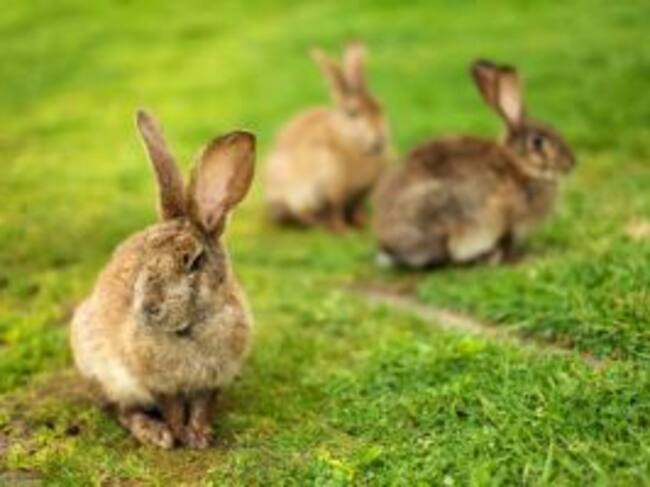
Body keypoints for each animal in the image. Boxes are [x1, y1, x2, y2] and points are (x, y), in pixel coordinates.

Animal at [70, 109, 255, 449]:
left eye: (194, 261)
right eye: (145, 254)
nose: (149, 307)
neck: (190, 329)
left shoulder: (212, 381)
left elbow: (201, 407)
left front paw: (201, 436)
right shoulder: (156, 382)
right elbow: (172, 409)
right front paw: (178, 435)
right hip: (103, 371)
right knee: (121, 409)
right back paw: (154, 432)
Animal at [264, 41, 392, 232]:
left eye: (380, 106)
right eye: (353, 113)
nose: (380, 141)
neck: (349, 141)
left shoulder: (361, 194)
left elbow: (358, 209)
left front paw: (363, 225)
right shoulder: (331, 190)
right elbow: (334, 211)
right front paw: (344, 232)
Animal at [373, 60, 576, 269]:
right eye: (538, 142)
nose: (571, 163)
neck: (518, 164)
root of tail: (387, 246)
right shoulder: (504, 220)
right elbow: (506, 241)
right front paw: (515, 257)